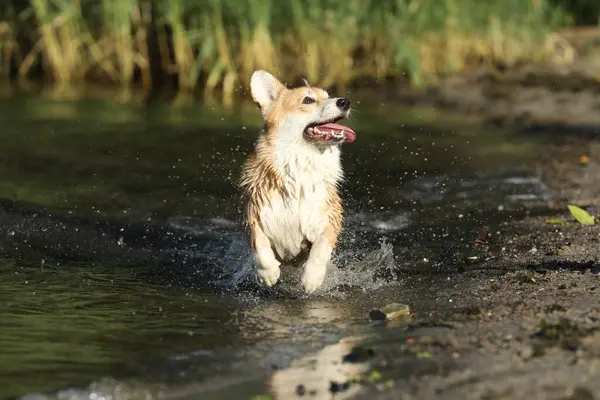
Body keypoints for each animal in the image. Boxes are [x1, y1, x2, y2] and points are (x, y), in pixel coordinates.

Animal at [239, 69, 356, 294]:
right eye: (308, 100)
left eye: (327, 95)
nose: (345, 102)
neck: (301, 163)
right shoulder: (256, 215)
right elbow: (261, 247)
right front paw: (268, 274)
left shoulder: (328, 217)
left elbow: (321, 248)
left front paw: (311, 278)